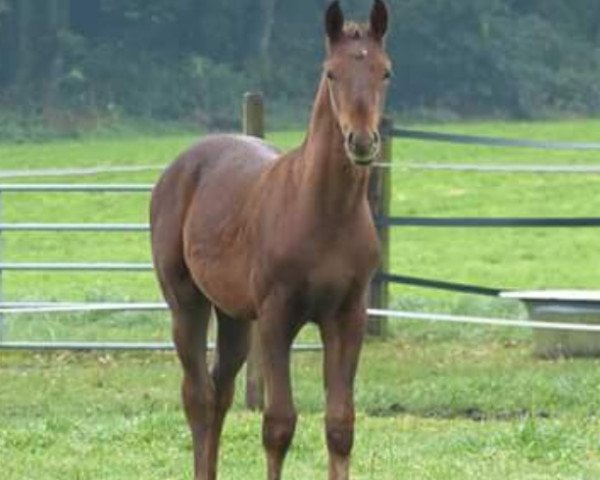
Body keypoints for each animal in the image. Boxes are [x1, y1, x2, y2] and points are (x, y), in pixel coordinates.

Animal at [150, 1, 392, 478]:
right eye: (331, 73)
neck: (324, 213)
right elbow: (279, 424)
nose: (361, 141)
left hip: (234, 315)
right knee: (198, 396)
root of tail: (181, 164)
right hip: (186, 302)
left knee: (220, 391)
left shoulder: (348, 317)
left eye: (385, 72)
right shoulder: (277, 317)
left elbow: (340, 424)